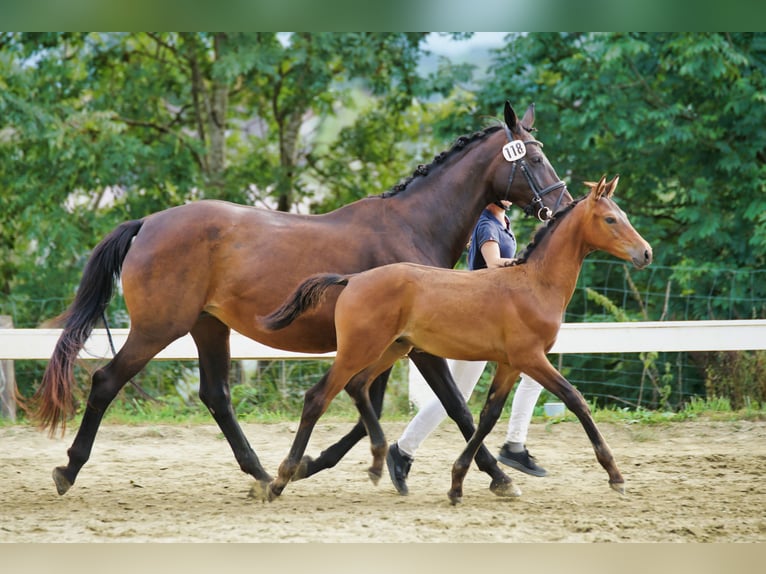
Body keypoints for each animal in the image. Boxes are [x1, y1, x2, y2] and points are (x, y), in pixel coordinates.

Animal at [37, 101, 576, 498]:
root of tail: (148, 222)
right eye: (532, 158)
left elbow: (369, 407)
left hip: (208, 326)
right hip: (158, 327)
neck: (412, 225)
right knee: (107, 381)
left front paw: (318, 464)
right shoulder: (419, 346)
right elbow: (454, 407)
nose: (564, 205)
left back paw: (259, 476)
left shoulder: (387, 343)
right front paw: (498, 477)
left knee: (216, 395)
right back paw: (67, 471)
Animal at [260, 176, 656, 504]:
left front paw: (461, 483)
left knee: (358, 386)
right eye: (610, 219)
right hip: (360, 349)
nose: (646, 253)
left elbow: (487, 416)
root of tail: (352, 279)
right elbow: (576, 400)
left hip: (392, 348)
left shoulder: (510, 364)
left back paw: (375, 461)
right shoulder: (530, 359)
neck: (535, 284)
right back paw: (281, 479)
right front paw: (616, 477)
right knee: (318, 397)